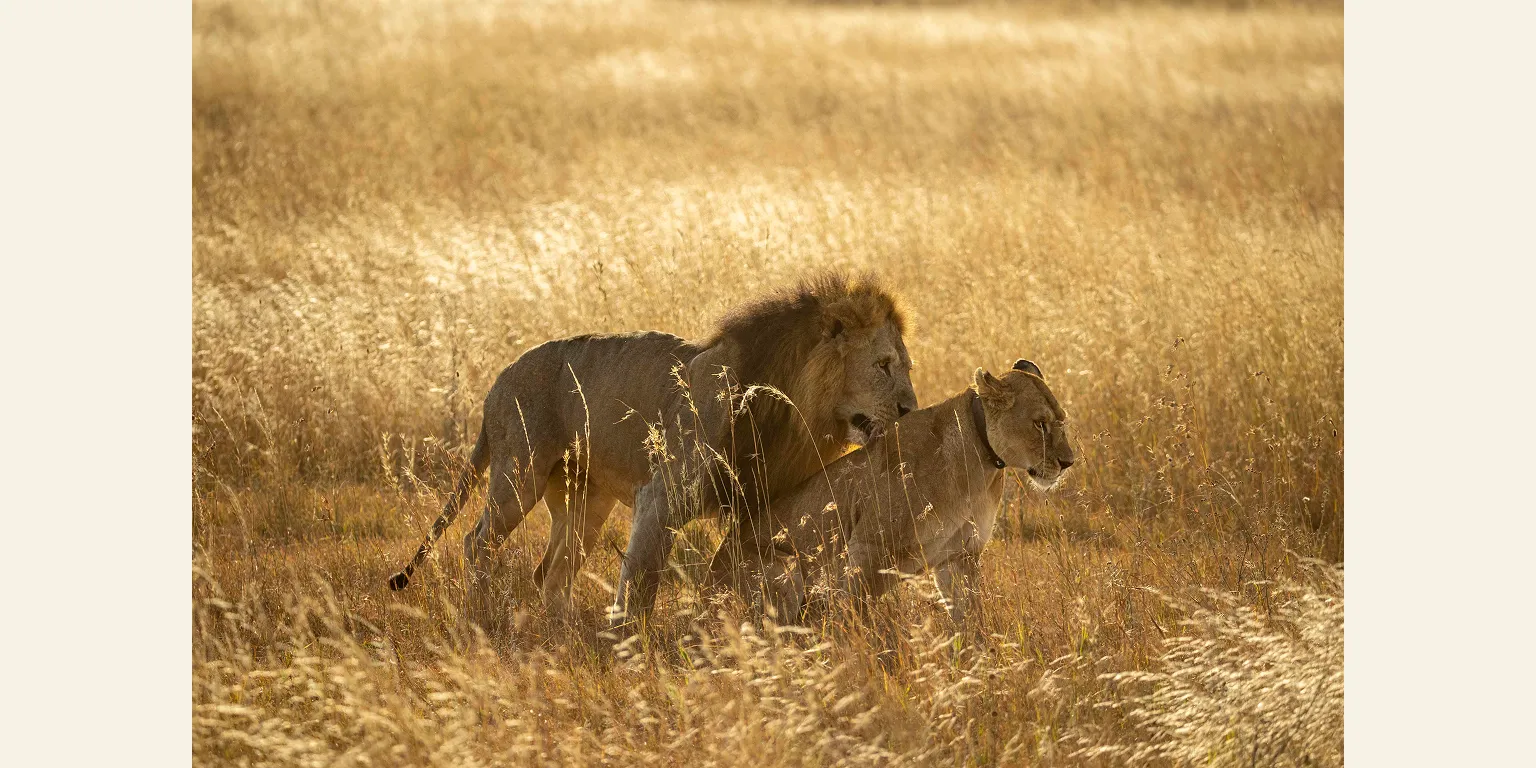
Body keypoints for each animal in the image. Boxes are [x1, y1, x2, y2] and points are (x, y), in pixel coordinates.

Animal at [386, 271, 918, 629]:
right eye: (883, 365)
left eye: (905, 366)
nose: (910, 409)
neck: (795, 404)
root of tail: (497, 381)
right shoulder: (661, 496)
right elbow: (642, 578)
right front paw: (629, 648)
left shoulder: (755, 504)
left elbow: (748, 571)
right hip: (520, 473)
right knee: (477, 543)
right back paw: (482, 616)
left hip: (586, 500)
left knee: (549, 571)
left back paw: (563, 629)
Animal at [727, 359, 1075, 626]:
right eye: (1040, 424)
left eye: (1062, 421)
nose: (1068, 462)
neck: (981, 464)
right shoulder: (869, 547)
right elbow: (856, 615)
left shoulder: (960, 556)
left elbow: (969, 620)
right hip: (783, 566)